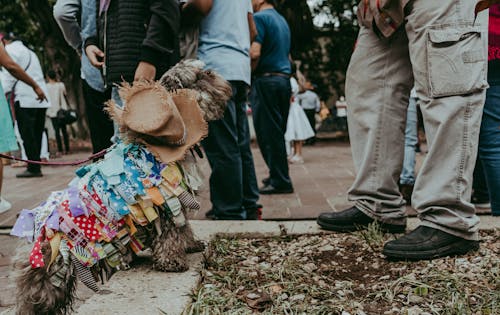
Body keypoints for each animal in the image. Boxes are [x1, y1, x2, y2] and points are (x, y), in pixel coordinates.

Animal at [10, 59, 231, 315]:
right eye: (203, 75)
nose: (227, 84)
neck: (155, 144)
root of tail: (36, 225)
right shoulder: (164, 204)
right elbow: (171, 234)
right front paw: (172, 261)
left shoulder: (175, 198)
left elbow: (183, 226)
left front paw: (191, 245)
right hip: (50, 270)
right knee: (34, 298)